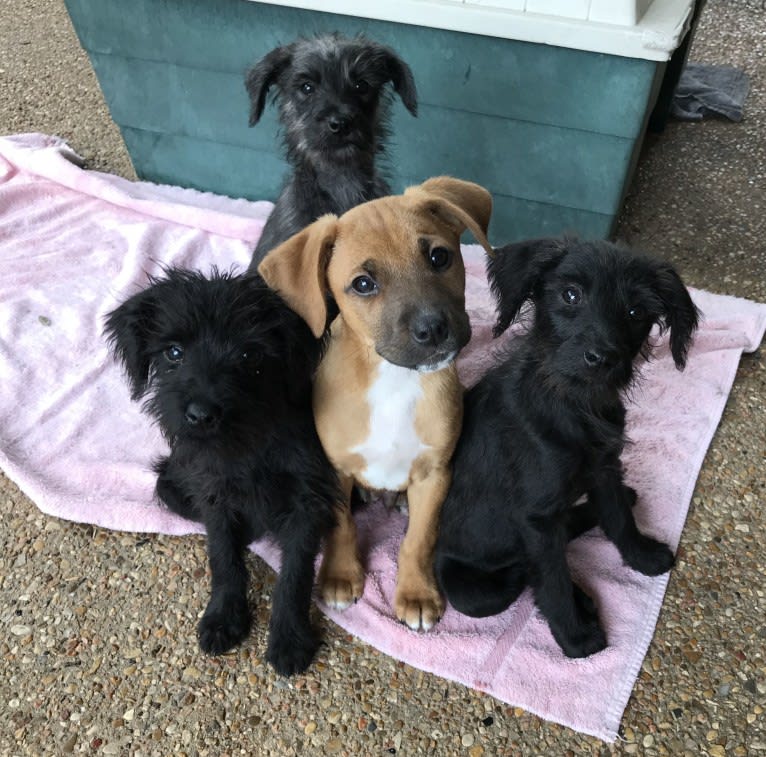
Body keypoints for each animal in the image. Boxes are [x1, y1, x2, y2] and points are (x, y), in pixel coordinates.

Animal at [105, 268, 340, 672]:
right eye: (174, 352)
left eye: (250, 354)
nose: (201, 414)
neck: (248, 443)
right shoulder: (214, 494)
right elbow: (223, 556)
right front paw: (223, 616)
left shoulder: (308, 499)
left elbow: (295, 573)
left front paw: (290, 637)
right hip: (169, 482)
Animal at [258, 177, 496, 632]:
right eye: (363, 284)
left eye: (439, 257)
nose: (432, 329)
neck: (393, 382)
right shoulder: (334, 470)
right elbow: (342, 525)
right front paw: (339, 575)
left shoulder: (435, 473)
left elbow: (418, 539)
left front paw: (416, 593)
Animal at [436, 236, 700, 656]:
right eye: (571, 294)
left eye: (635, 311)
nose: (602, 358)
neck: (575, 405)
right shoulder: (537, 517)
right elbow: (553, 577)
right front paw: (575, 636)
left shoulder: (605, 470)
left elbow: (620, 517)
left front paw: (640, 555)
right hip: (473, 592)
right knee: (527, 571)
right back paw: (579, 597)